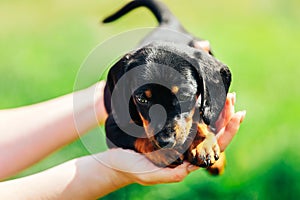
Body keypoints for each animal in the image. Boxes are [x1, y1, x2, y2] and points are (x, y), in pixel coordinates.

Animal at [102, 0, 231, 173]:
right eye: (141, 99)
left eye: (184, 96)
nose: (165, 141)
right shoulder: (112, 126)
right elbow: (137, 136)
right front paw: (163, 152)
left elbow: (199, 117)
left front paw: (203, 144)